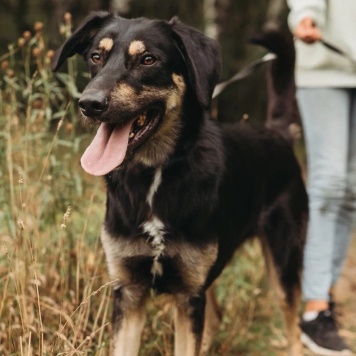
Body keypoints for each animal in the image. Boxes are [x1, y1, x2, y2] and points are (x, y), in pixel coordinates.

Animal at [51, 12, 308, 354]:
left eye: (148, 59)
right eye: (96, 56)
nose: (89, 104)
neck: (155, 174)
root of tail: (278, 134)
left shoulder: (187, 294)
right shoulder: (130, 292)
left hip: (283, 264)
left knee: (293, 329)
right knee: (216, 316)